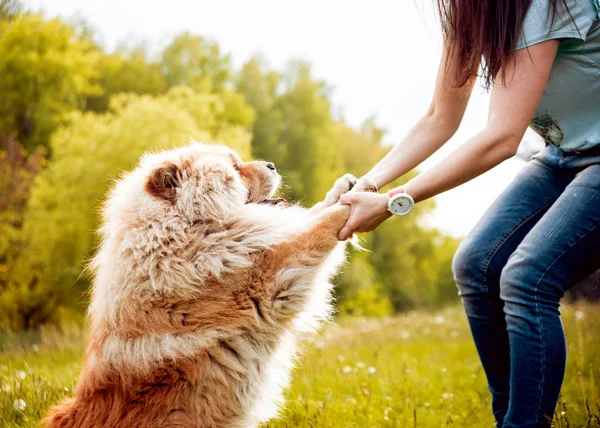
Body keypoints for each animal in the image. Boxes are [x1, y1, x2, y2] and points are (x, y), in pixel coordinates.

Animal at [43, 142, 376, 426]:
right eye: (235, 168)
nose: (271, 164)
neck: (182, 234)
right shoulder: (272, 271)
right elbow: (321, 224)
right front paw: (362, 195)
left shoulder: (263, 239)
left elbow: (314, 213)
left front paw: (346, 186)